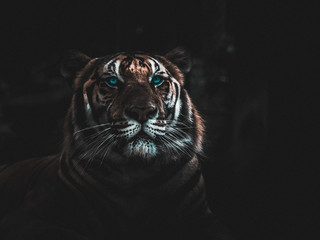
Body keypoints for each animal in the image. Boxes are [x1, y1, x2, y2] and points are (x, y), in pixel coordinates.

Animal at [0, 48, 234, 240]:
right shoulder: (27, 217)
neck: (137, 172)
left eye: (157, 80)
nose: (142, 111)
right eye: (112, 82)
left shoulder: (201, 217)